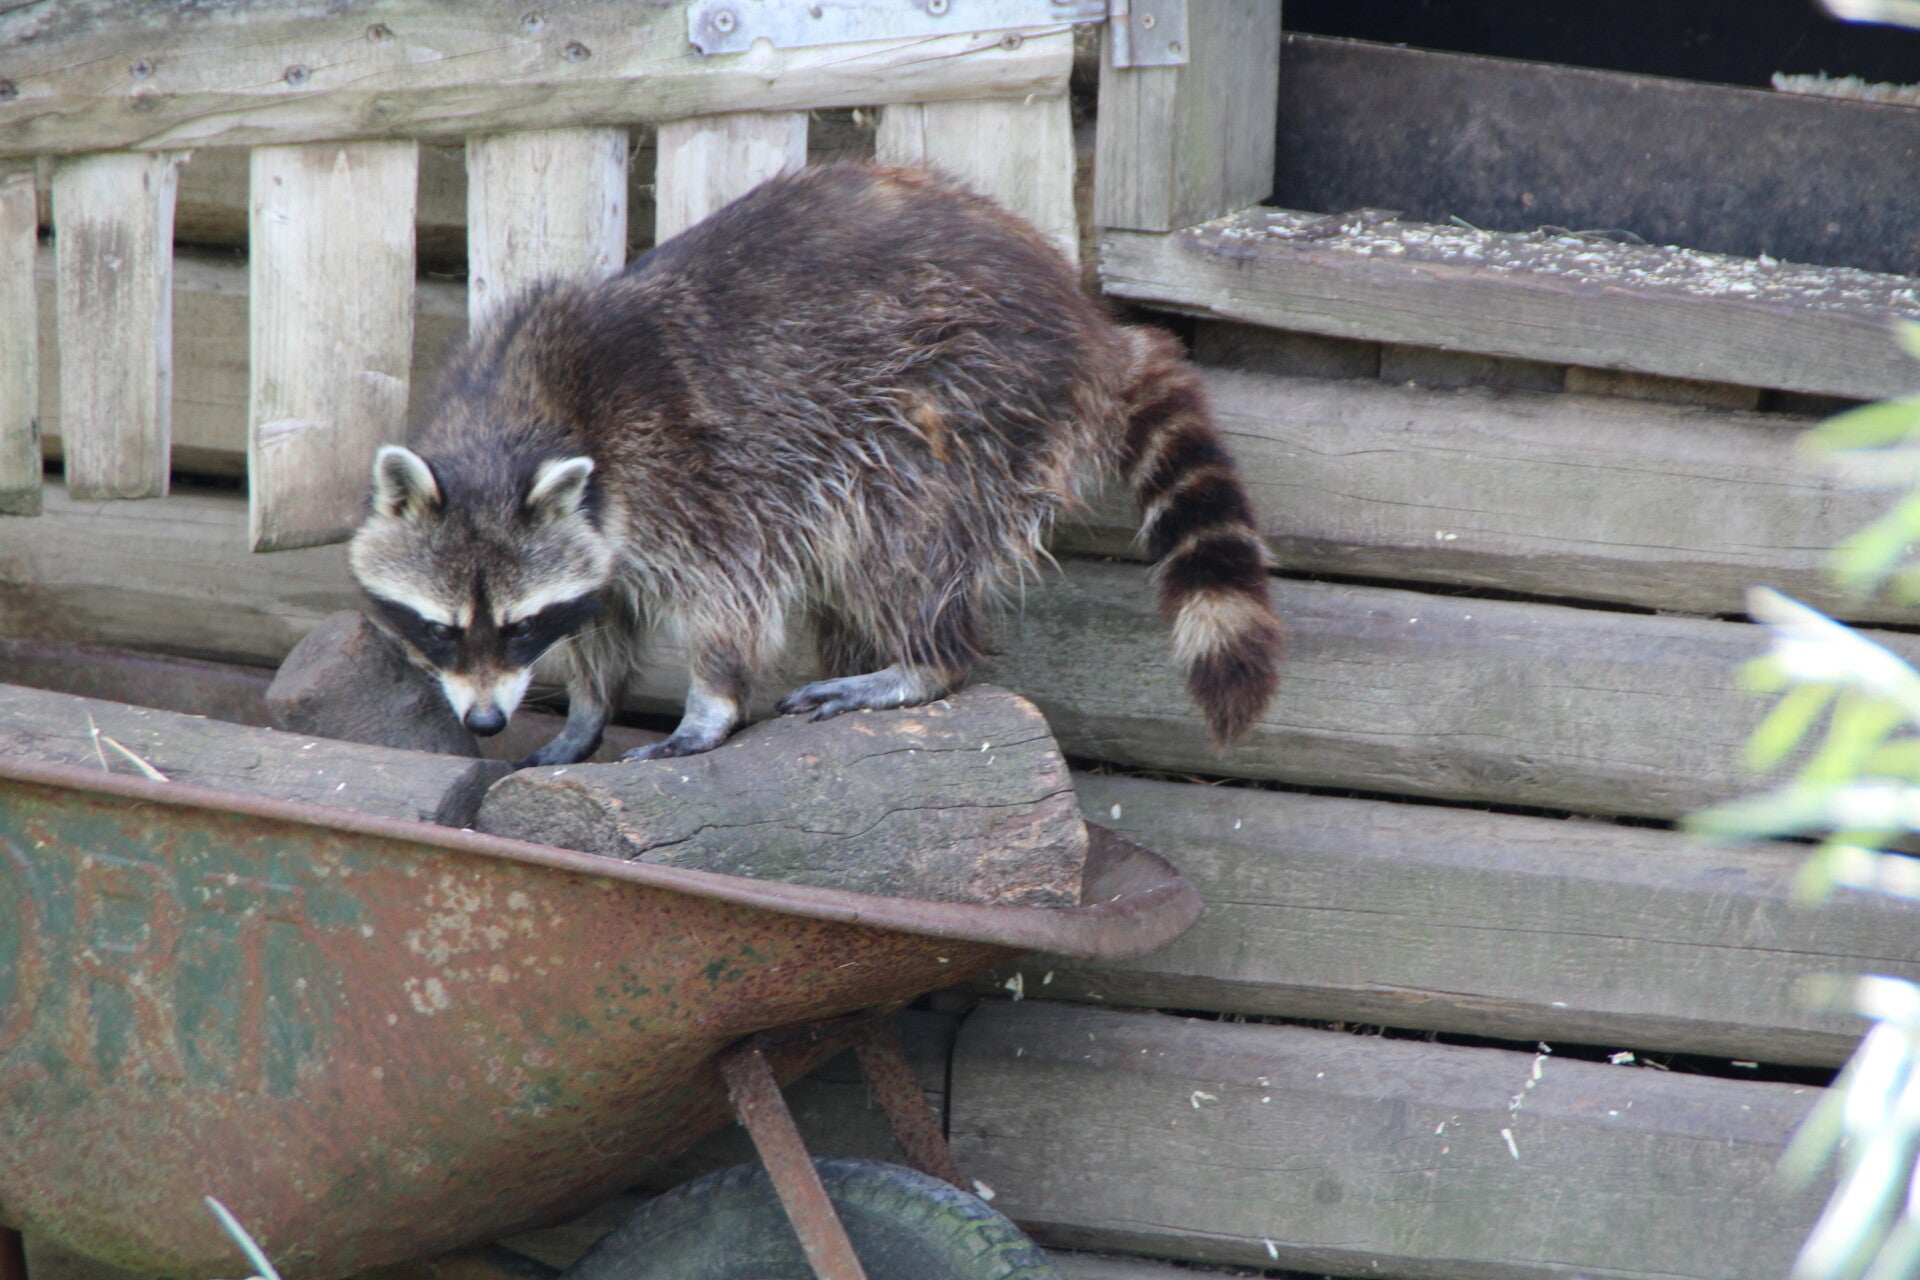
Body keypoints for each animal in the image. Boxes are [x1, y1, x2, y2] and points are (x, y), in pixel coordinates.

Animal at [348, 163, 1282, 766]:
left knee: (898, 536)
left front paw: (710, 704)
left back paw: (922, 658)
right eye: (440, 630)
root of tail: (1090, 325)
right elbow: (606, 614)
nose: (483, 723)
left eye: (516, 629)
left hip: (969, 400)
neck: (517, 415)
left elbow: (732, 594)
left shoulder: (686, 474)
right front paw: (586, 709)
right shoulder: (595, 521)